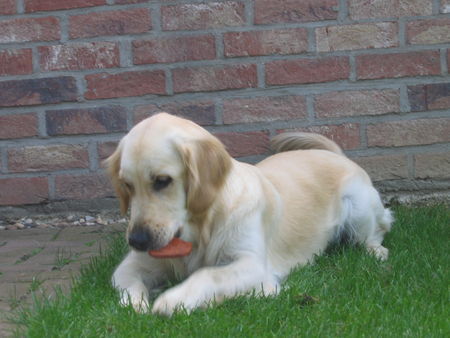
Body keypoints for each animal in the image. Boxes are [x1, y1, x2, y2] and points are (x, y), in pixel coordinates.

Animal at [104, 112, 390, 316]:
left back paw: (376, 251)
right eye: (127, 185)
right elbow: (127, 283)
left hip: (358, 205)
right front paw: (135, 304)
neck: (201, 227)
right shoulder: (132, 265)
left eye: (162, 181)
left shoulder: (253, 265)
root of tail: (337, 154)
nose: (137, 241)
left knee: (379, 228)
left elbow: (208, 274)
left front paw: (174, 299)